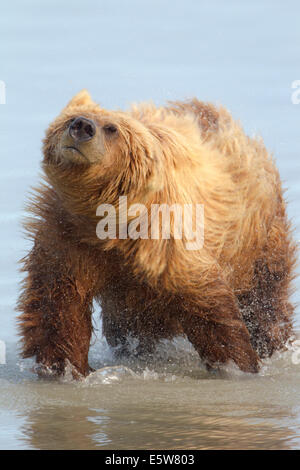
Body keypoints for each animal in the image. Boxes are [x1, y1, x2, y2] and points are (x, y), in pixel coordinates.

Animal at [17, 90, 298, 378]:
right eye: (70, 118)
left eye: (111, 128)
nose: (82, 126)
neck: (107, 222)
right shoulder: (66, 236)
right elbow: (60, 304)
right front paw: (62, 366)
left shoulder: (167, 242)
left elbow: (209, 305)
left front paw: (238, 364)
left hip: (258, 234)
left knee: (266, 296)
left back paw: (272, 341)